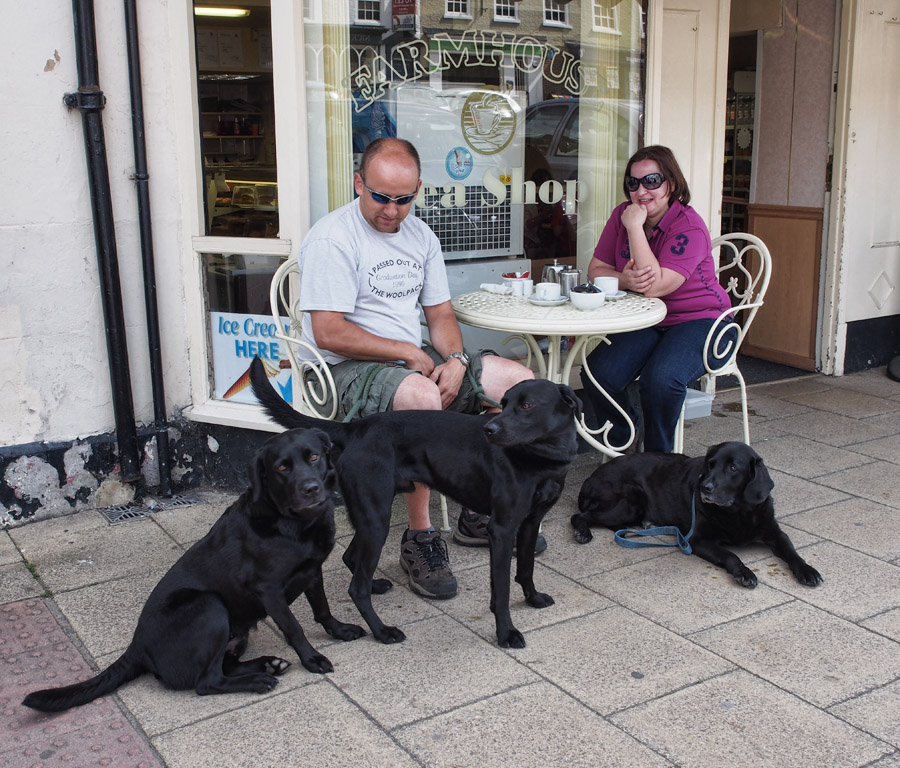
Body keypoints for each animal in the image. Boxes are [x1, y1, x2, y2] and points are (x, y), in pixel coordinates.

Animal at [23, 428, 362, 712]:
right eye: (281, 467)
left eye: (314, 457)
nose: (311, 488)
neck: (293, 524)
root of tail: (137, 647)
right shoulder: (269, 589)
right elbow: (294, 628)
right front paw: (312, 658)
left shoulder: (312, 571)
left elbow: (323, 609)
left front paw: (341, 630)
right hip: (209, 606)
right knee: (206, 683)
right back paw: (258, 680)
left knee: (224, 666)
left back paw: (268, 664)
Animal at [250, 354, 580, 648]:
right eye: (506, 403)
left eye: (526, 405)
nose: (489, 429)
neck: (541, 458)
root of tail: (356, 428)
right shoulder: (502, 529)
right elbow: (501, 590)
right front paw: (506, 633)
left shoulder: (530, 523)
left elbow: (526, 567)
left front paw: (533, 598)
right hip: (376, 518)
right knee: (356, 588)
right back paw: (382, 631)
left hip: (371, 516)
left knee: (352, 559)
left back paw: (375, 586)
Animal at [568, 438, 824, 588]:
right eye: (710, 465)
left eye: (733, 468)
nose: (705, 488)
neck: (738, 512)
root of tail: (589, 479)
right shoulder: (698, 540)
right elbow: (730, 555)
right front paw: (744, 573)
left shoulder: (774, 532)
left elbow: (791, 551)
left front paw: (807, 570)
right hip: (630, 501)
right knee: (580, 516)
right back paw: (583, 533)